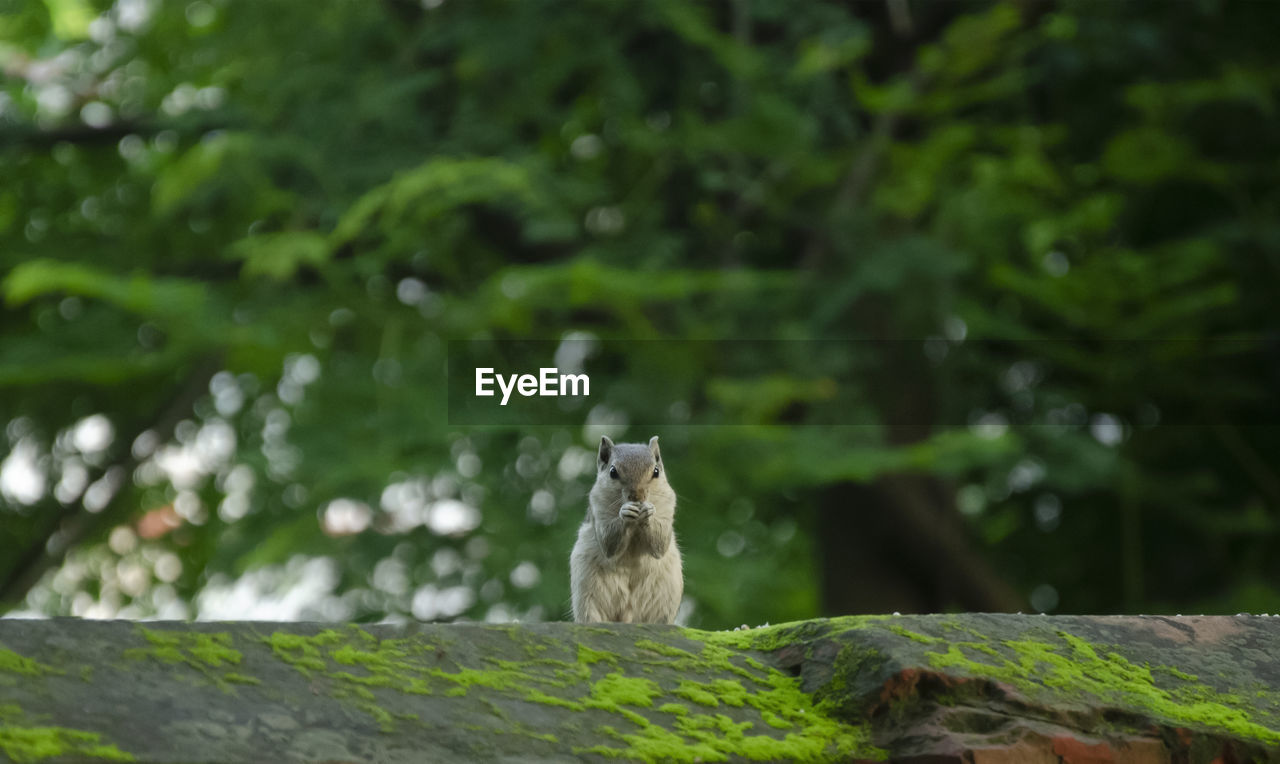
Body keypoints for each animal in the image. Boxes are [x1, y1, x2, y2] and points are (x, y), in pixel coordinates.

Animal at [573, 432, 686, 621]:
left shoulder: (669, 504)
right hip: (588, 593)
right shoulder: (598, 508)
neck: (636, 525)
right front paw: (624, 513)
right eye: (613, 472)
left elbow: (660, 545)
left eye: (656, 471)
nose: (637, 496)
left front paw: (649, 512)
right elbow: (608, 543)